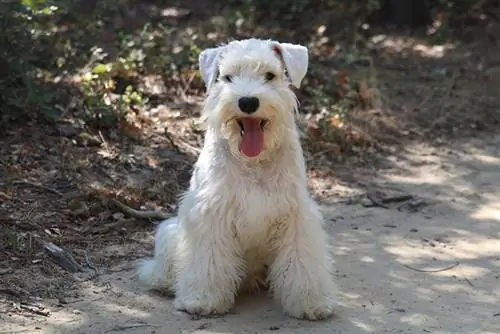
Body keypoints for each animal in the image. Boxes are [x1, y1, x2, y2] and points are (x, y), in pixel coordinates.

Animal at [137, 37, 338, 320]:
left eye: (270, 75)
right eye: (227, 77)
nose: (247, 102)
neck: (253, 160)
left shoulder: (296, 216)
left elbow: (303, 262)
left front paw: (311, 302)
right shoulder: (211, 213)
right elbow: (209, 259)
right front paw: (202, 299)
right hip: (170, 231)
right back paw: (165, 282)